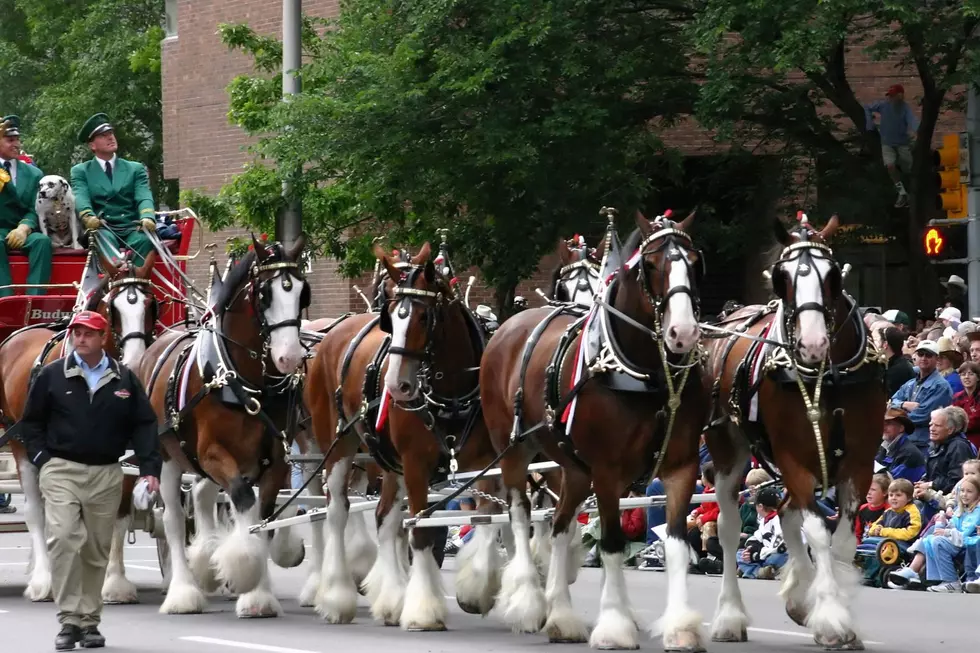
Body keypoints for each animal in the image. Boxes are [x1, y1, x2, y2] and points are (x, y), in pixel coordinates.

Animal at [138, 234, 310, 616]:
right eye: (265, 294)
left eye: (302, 292)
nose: (290, 356)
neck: (247, 384)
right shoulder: (213, 453)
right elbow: (244, 499)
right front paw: (244, 571)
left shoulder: (277, 461)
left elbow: (264, 520)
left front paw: (258, 596)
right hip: (169, 457)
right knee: (173, 520)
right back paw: (183, 592)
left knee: (202, 495)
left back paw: (204, 561)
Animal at [480, 211, 704, 648]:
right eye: (651, 265)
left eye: (694, 260)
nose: (683, 333)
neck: (646, 374)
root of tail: (509, 327)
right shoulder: (607, 470)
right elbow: (612, 544)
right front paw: (615, 625)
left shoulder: (680, 467)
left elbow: (676, 544)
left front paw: (681, 626)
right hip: (515, 450)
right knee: (520, 513)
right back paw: (529, 602)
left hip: (572, 467)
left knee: (560, 524)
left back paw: (561, 615)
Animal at [700, 214, 884, 648]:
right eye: (782, 278)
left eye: (831, 276)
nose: (812, 343)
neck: (827, 375)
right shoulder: (794, 457)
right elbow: (817, 531)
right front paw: (832, 618)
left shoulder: (859, 462)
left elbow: (843, 540)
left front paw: (831, 611)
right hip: (728, 451)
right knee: (731, 528)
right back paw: (730, 617)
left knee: (784, 514)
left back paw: (800, 600)